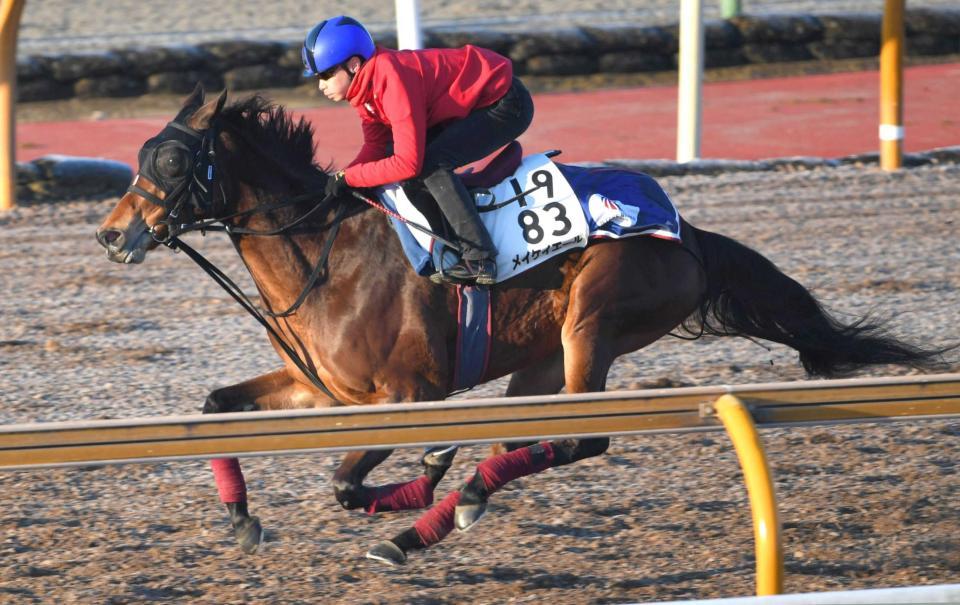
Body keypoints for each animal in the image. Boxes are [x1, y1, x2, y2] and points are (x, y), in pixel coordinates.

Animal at [95, 86, 936, 568]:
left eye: (171, 161)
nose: (110, 233)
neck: (326, 253)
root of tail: (688, 231)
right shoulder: (320, 388)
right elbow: (216, 407)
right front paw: (242, 519)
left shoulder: (408, 395)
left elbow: (345, 482)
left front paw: (415, 479)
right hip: (542, 356)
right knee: (525, 439)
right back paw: (446, 511)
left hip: (593, 323)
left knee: (581, 438)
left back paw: (425, 518)